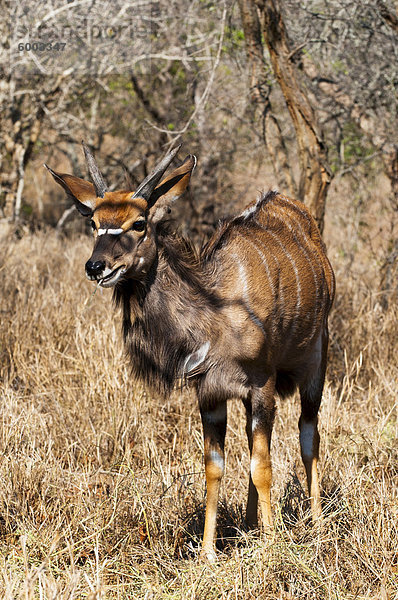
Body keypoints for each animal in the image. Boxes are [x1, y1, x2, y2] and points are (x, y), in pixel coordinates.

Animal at [45, 143, 334, 560]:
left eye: (139, 223)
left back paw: (316, 522)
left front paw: (274, 542)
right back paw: (251, 525)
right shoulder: (210, 393)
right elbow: (216, 466)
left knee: (308, 435)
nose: (96, 266)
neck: (215, 310)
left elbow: (263, 465)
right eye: (94, 222)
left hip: (315, 364)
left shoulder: (262, 384)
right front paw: (210, 553)